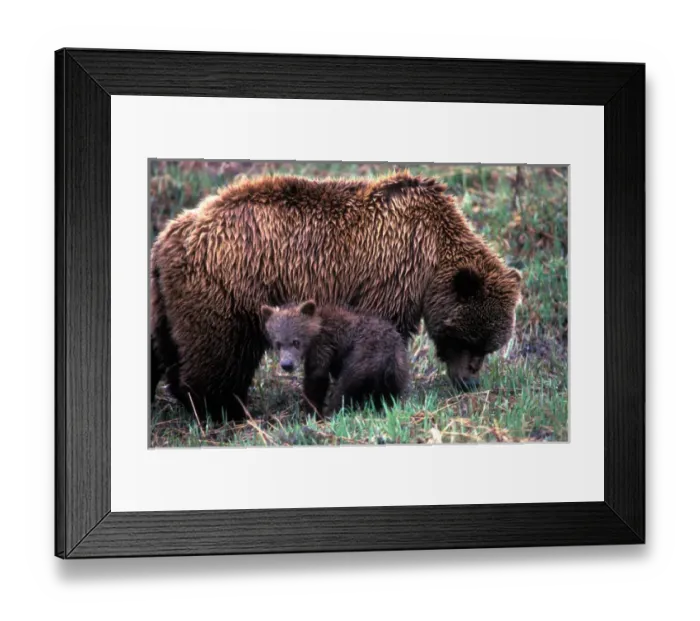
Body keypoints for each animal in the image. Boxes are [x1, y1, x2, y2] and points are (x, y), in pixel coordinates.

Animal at [261, 300, 410, 417]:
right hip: (398, 371)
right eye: (278, 344)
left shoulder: (324, 345)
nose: (287, 364)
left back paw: (332, 412)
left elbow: (316, 377)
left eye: (296, 342)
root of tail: (388, 359)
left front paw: (312, 411)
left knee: (344, 388)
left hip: (361, 361)